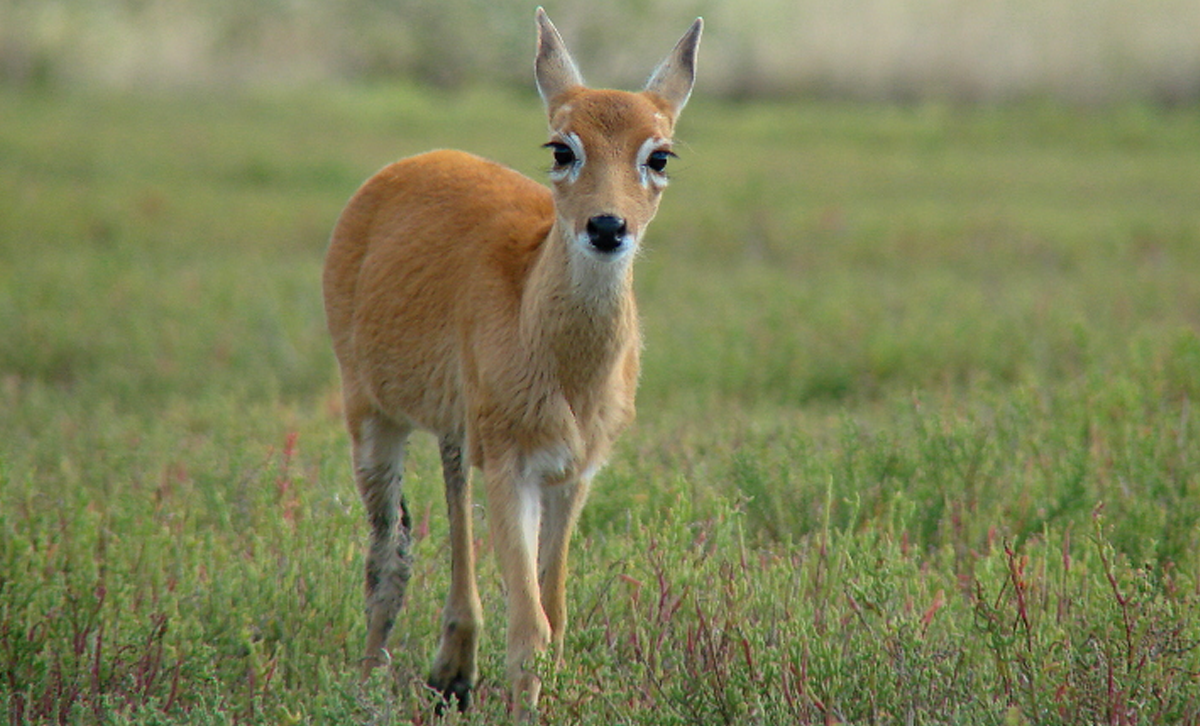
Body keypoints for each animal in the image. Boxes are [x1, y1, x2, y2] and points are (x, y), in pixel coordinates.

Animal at [322, 8, 701, 719]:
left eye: (659, 154)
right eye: (561, 147)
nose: (607, 227)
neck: (565, 370)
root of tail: (400, 169)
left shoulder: (574, 474)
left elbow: (554, 609)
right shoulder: (512, 466)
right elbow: (530, 625)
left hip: (456, 426)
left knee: (448, 498)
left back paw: (452, 670)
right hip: (371, 412)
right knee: (388, 550)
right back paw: (368, 684)